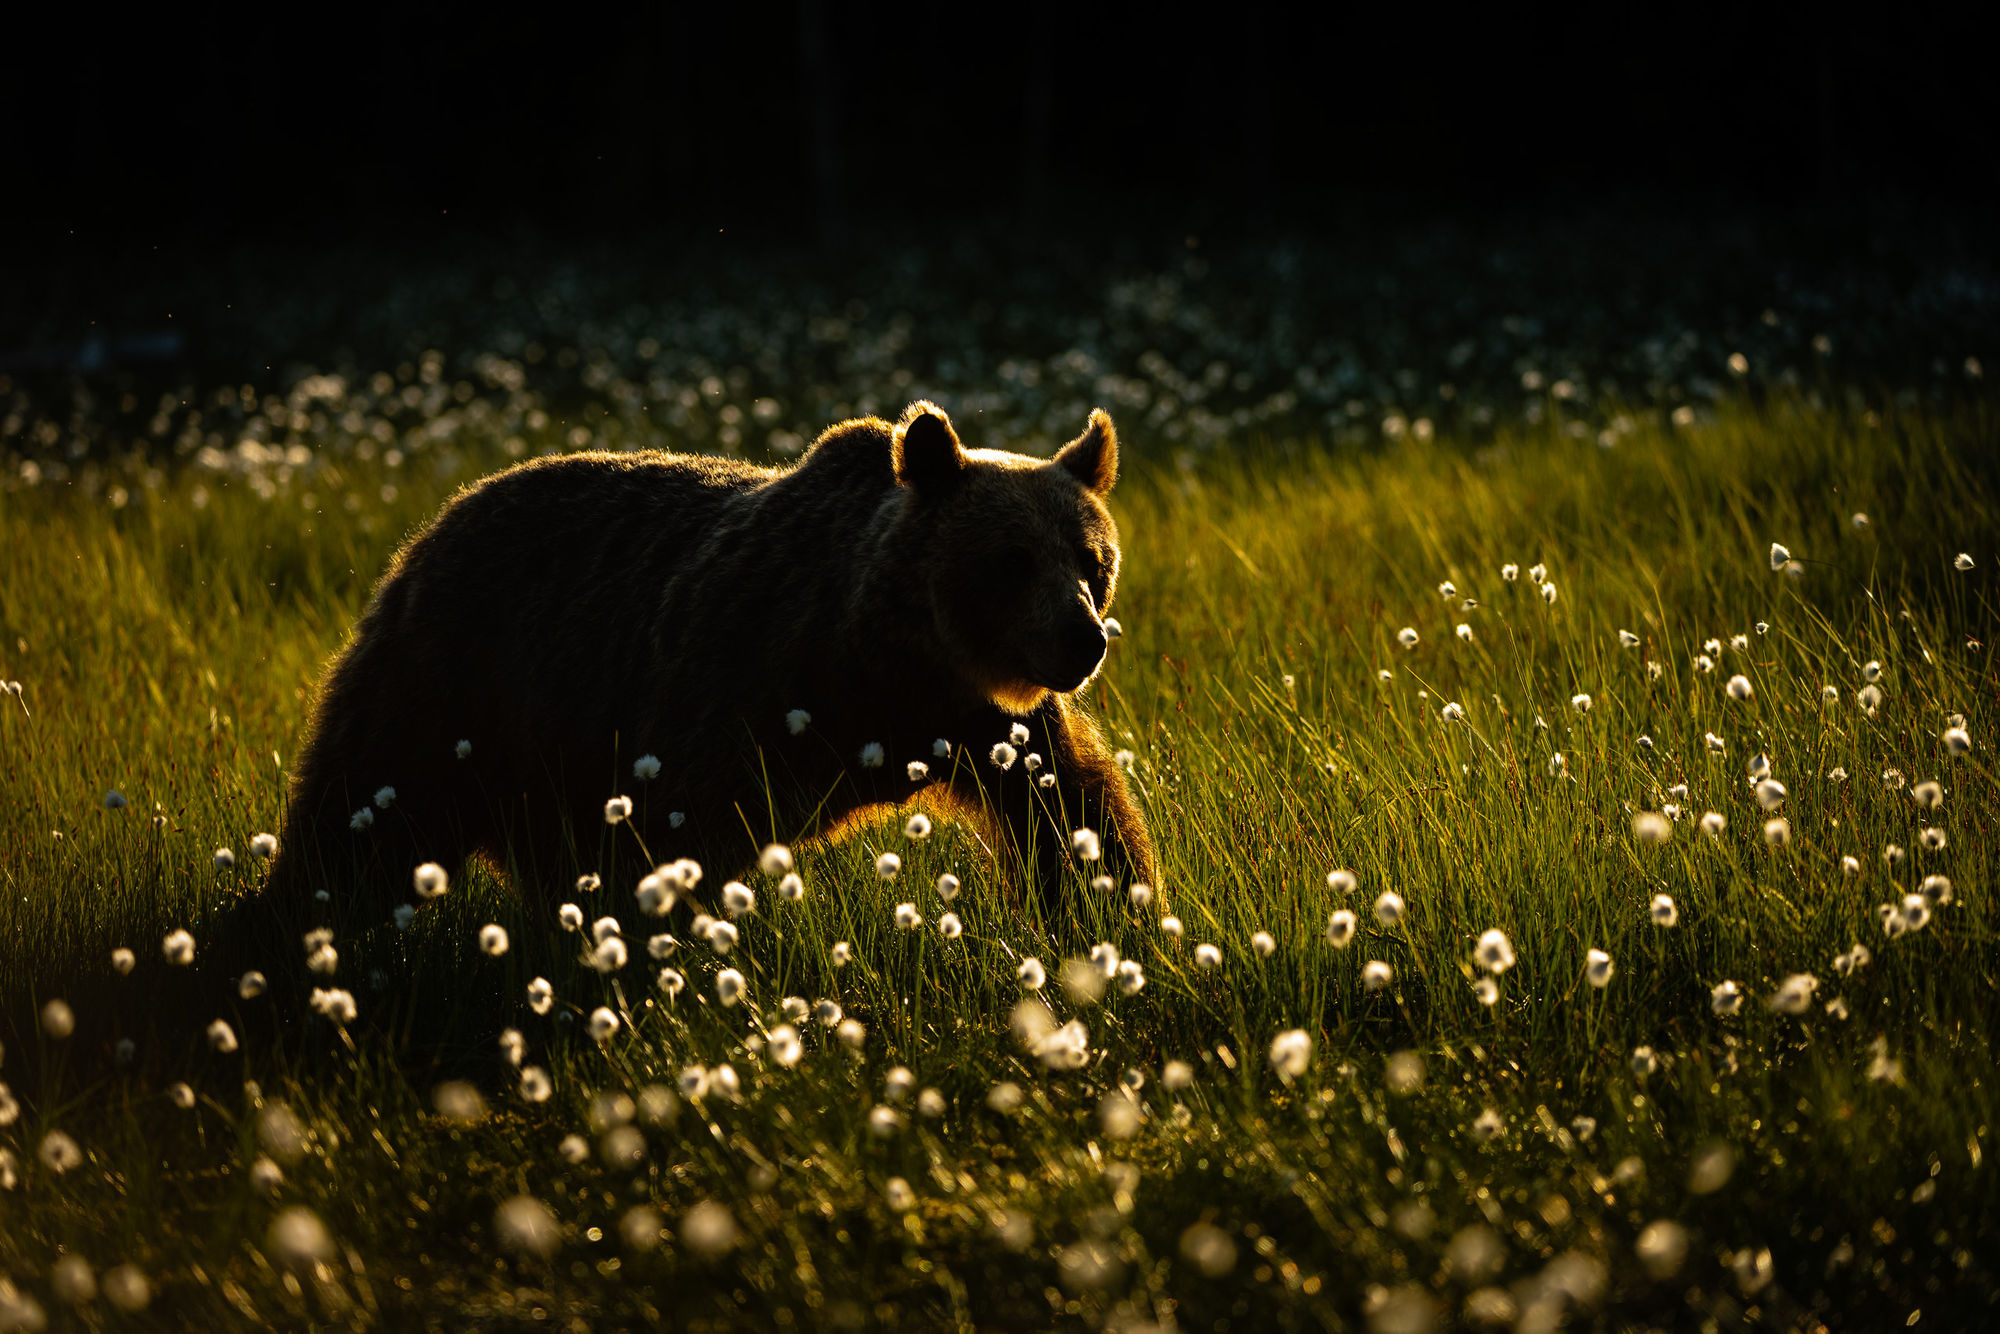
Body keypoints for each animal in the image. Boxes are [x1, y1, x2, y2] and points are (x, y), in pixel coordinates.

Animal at [265, 400, 1154, 930]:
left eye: (1092, 559)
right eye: (1012, 561)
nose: (1083, 639)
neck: (891, 665)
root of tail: (434, 523)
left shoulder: (991, 724)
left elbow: (1073, 809)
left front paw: (1114, 914)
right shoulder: (751, 678)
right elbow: (682, 824)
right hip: (454, 684)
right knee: (362, 813)